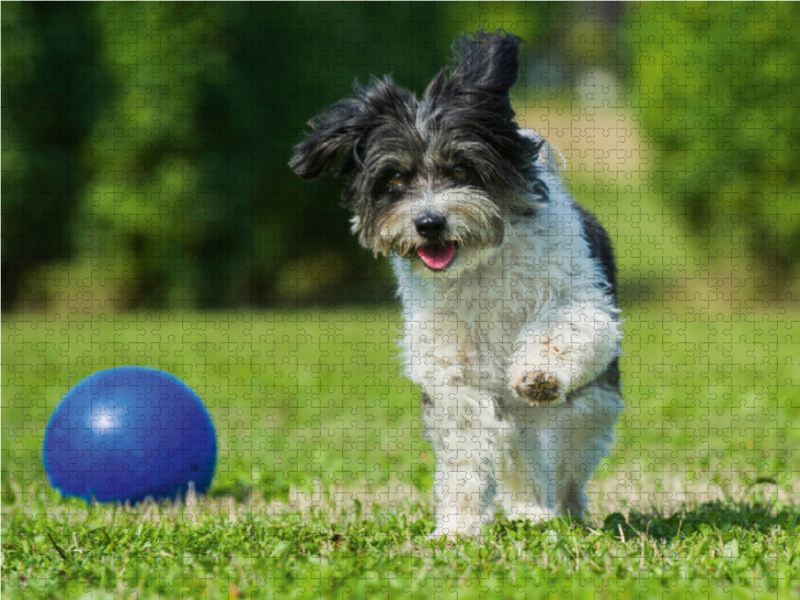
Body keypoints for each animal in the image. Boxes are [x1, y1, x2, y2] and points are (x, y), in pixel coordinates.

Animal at [290, 29, 620, 540]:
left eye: (462, 170)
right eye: (396, 178)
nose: (429, 223)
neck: (478, 266)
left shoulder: (578, 298)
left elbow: (566, 328)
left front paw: (539, 374)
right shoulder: (453, 369)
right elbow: (465, 451)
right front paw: (458, 529)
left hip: (593, 406)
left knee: (569, 455)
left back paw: (561, 508)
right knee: (519, 453)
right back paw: (529, 509)